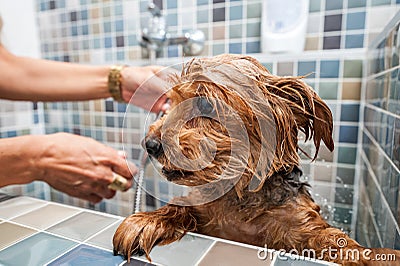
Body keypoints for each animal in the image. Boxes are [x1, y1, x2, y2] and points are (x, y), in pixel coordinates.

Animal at [113, 53, 400, 264]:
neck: (240, 198)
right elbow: (180, 207)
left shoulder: (301, 229)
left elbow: (333, 241)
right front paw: (143, 221)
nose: (150, 144)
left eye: (206, 104)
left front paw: (375, 257)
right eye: (172, 102)